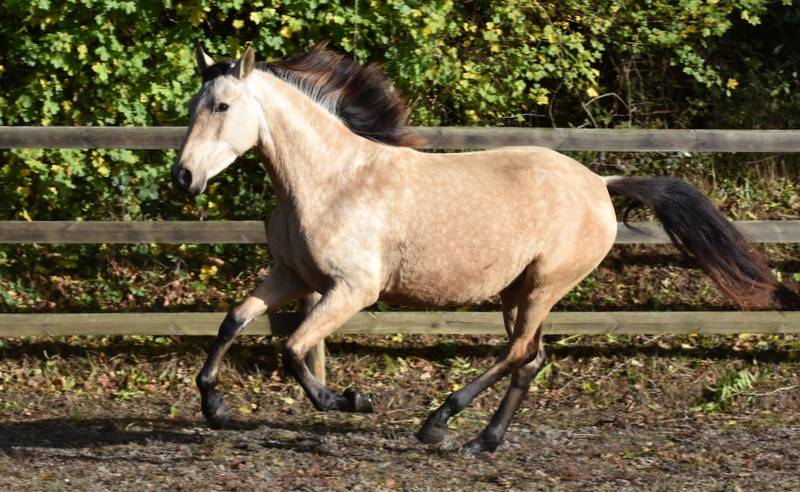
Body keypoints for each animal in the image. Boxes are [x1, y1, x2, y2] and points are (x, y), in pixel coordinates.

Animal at [171, 43, 779, 454]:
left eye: (222, 106)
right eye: (194, 104)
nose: (184, 177)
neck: (331, 181)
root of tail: (599, 184)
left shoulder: (352, 290)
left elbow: (294, 348)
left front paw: (349, 401)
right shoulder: (291, 275)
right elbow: (232, 322)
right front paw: (215, 407)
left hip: (545, 285)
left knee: (517, 353)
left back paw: (438, 423)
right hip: (518, 291)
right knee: (531, 358)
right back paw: (483, 440)